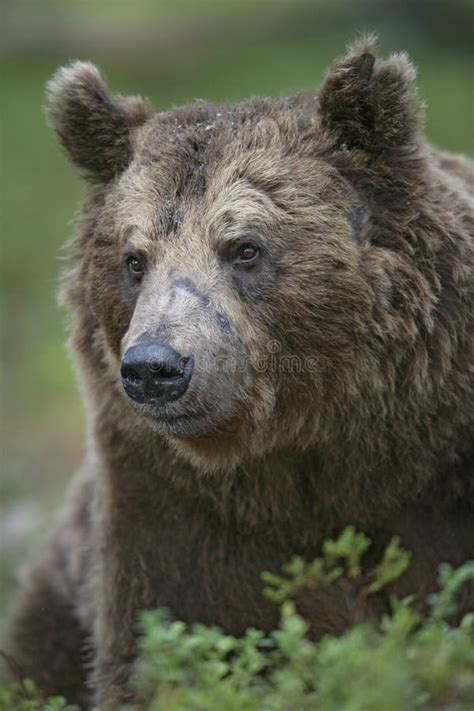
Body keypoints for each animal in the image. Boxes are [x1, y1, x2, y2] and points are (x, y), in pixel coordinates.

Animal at [4, 40, 474, 711]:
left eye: (245, 247)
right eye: (134, 259)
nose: (155, 368)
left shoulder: (438, 477)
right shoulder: (173, 501)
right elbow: (168, 639)